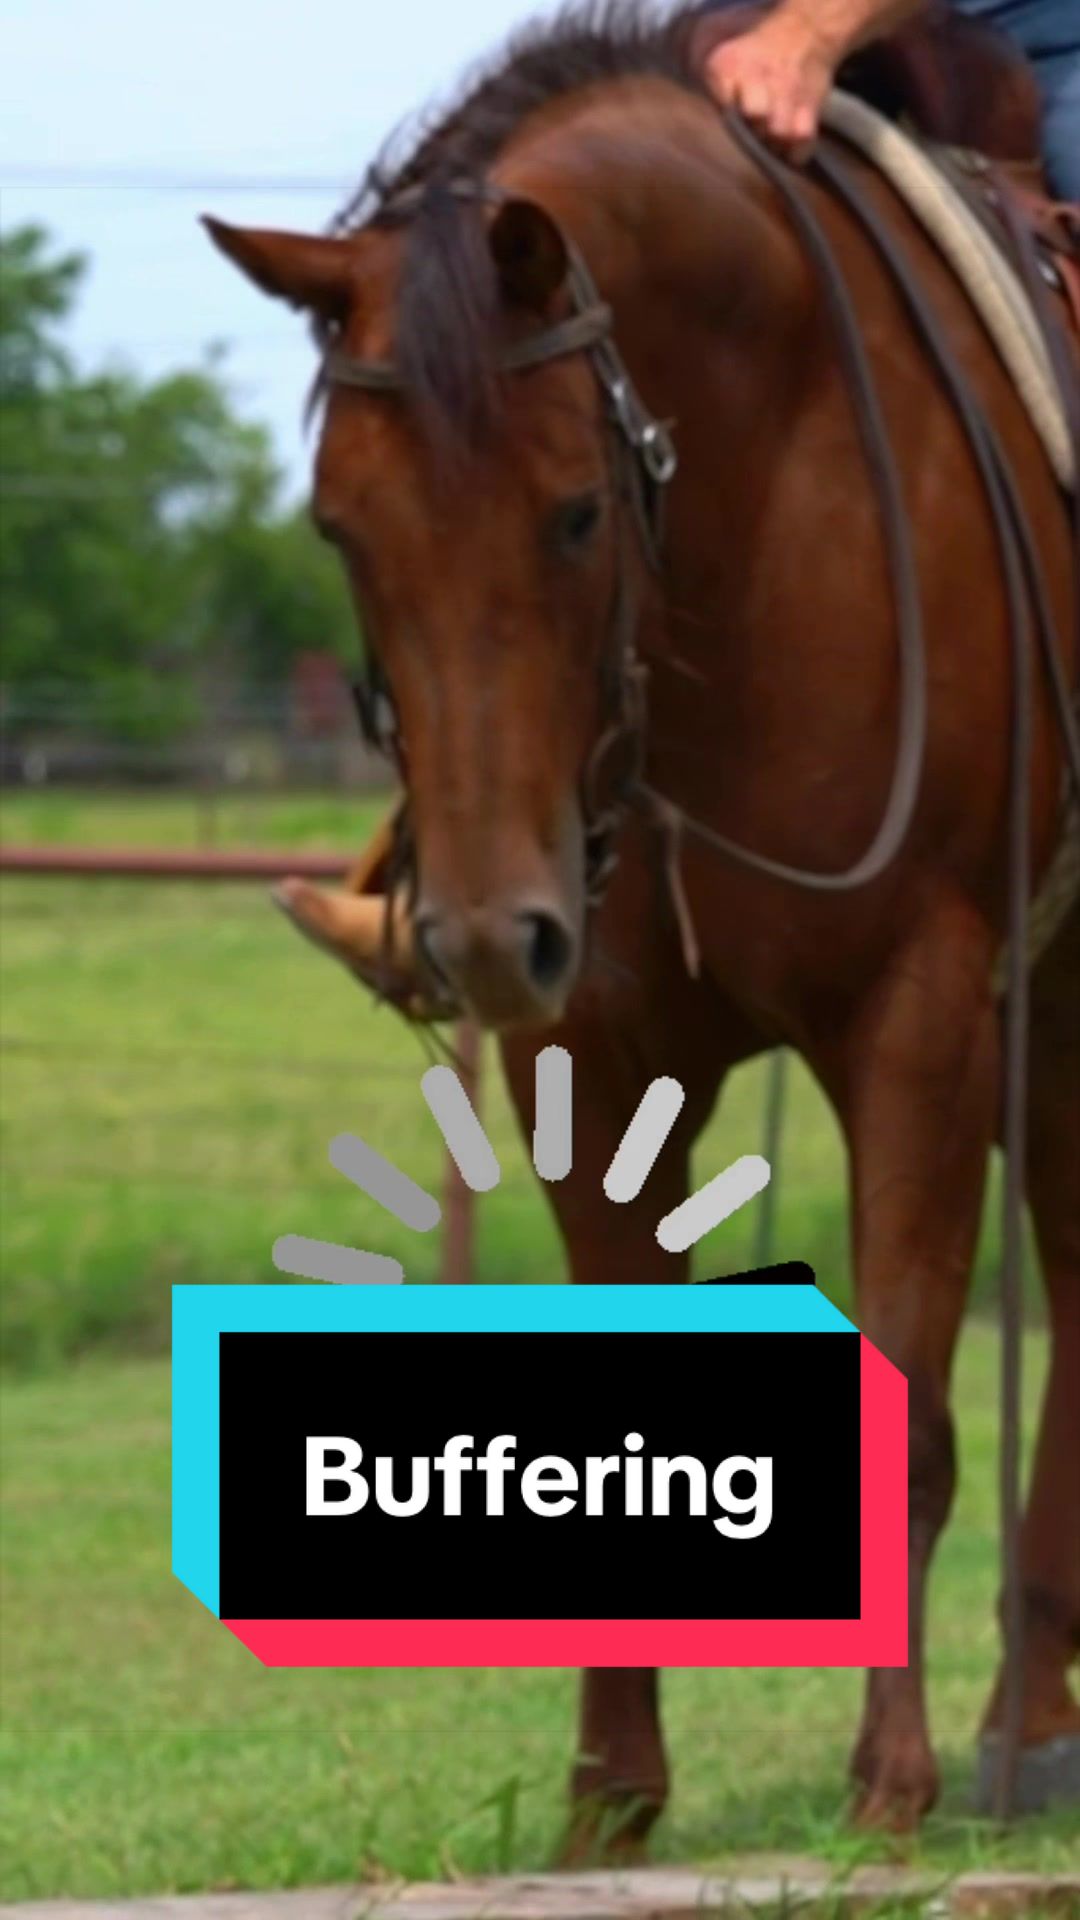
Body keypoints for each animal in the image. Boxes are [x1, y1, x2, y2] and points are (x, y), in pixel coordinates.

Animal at [205, 0, 1079, 1842]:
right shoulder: (591, 1046)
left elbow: (911, 1384)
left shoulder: (921, 1014)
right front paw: (609, 1791)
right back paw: (1031, 1720)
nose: (476, 936)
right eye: (340, 525)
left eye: (575, 510)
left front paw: (886, 1782)